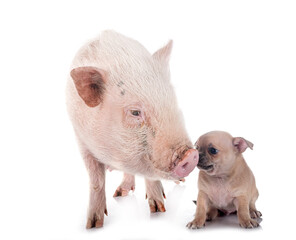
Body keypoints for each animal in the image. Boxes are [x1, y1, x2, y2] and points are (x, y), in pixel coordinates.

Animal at [66, 31, 198, 228]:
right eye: (135, 112)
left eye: (172, 102)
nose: (191, 155)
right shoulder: (81, 140)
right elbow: (96, 181)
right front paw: (93, 225)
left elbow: (151, 176)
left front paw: (158, 211)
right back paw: (120, 194)